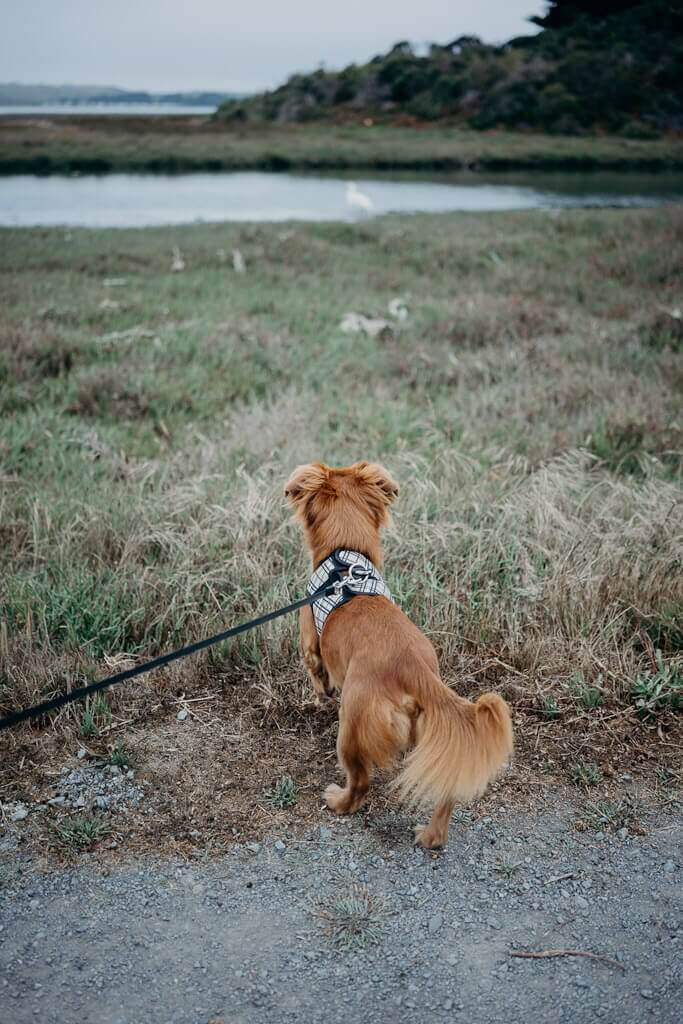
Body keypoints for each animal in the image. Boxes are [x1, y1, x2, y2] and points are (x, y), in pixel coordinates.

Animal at [282, 462, 511, 847]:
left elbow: (315, 668)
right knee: (445, 788)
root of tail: (415, 670)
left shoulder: (310, 640)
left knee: (360, 784)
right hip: (429, 733)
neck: (345, 557)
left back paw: (338, 801)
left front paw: (321, 692)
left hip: (352, 727)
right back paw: (432, 835)